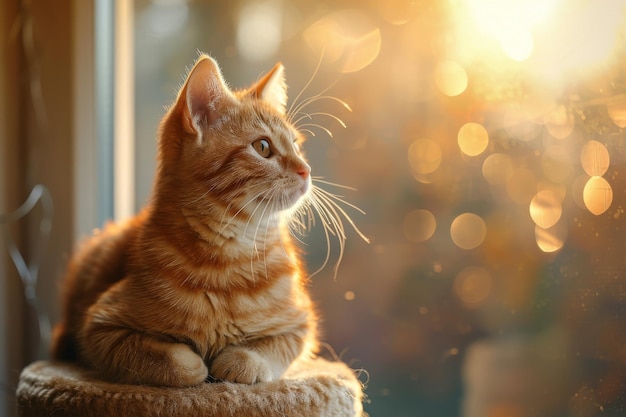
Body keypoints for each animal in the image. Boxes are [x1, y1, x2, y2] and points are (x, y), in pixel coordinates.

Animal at [51, 55, 320, 386]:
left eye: (296, 145)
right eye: (263, 147)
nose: (306, 170)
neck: (227, 259)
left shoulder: (300, 323)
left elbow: (270, 349)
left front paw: (242, 362)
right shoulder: (100, 327)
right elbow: (177, 361)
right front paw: (197, 366)